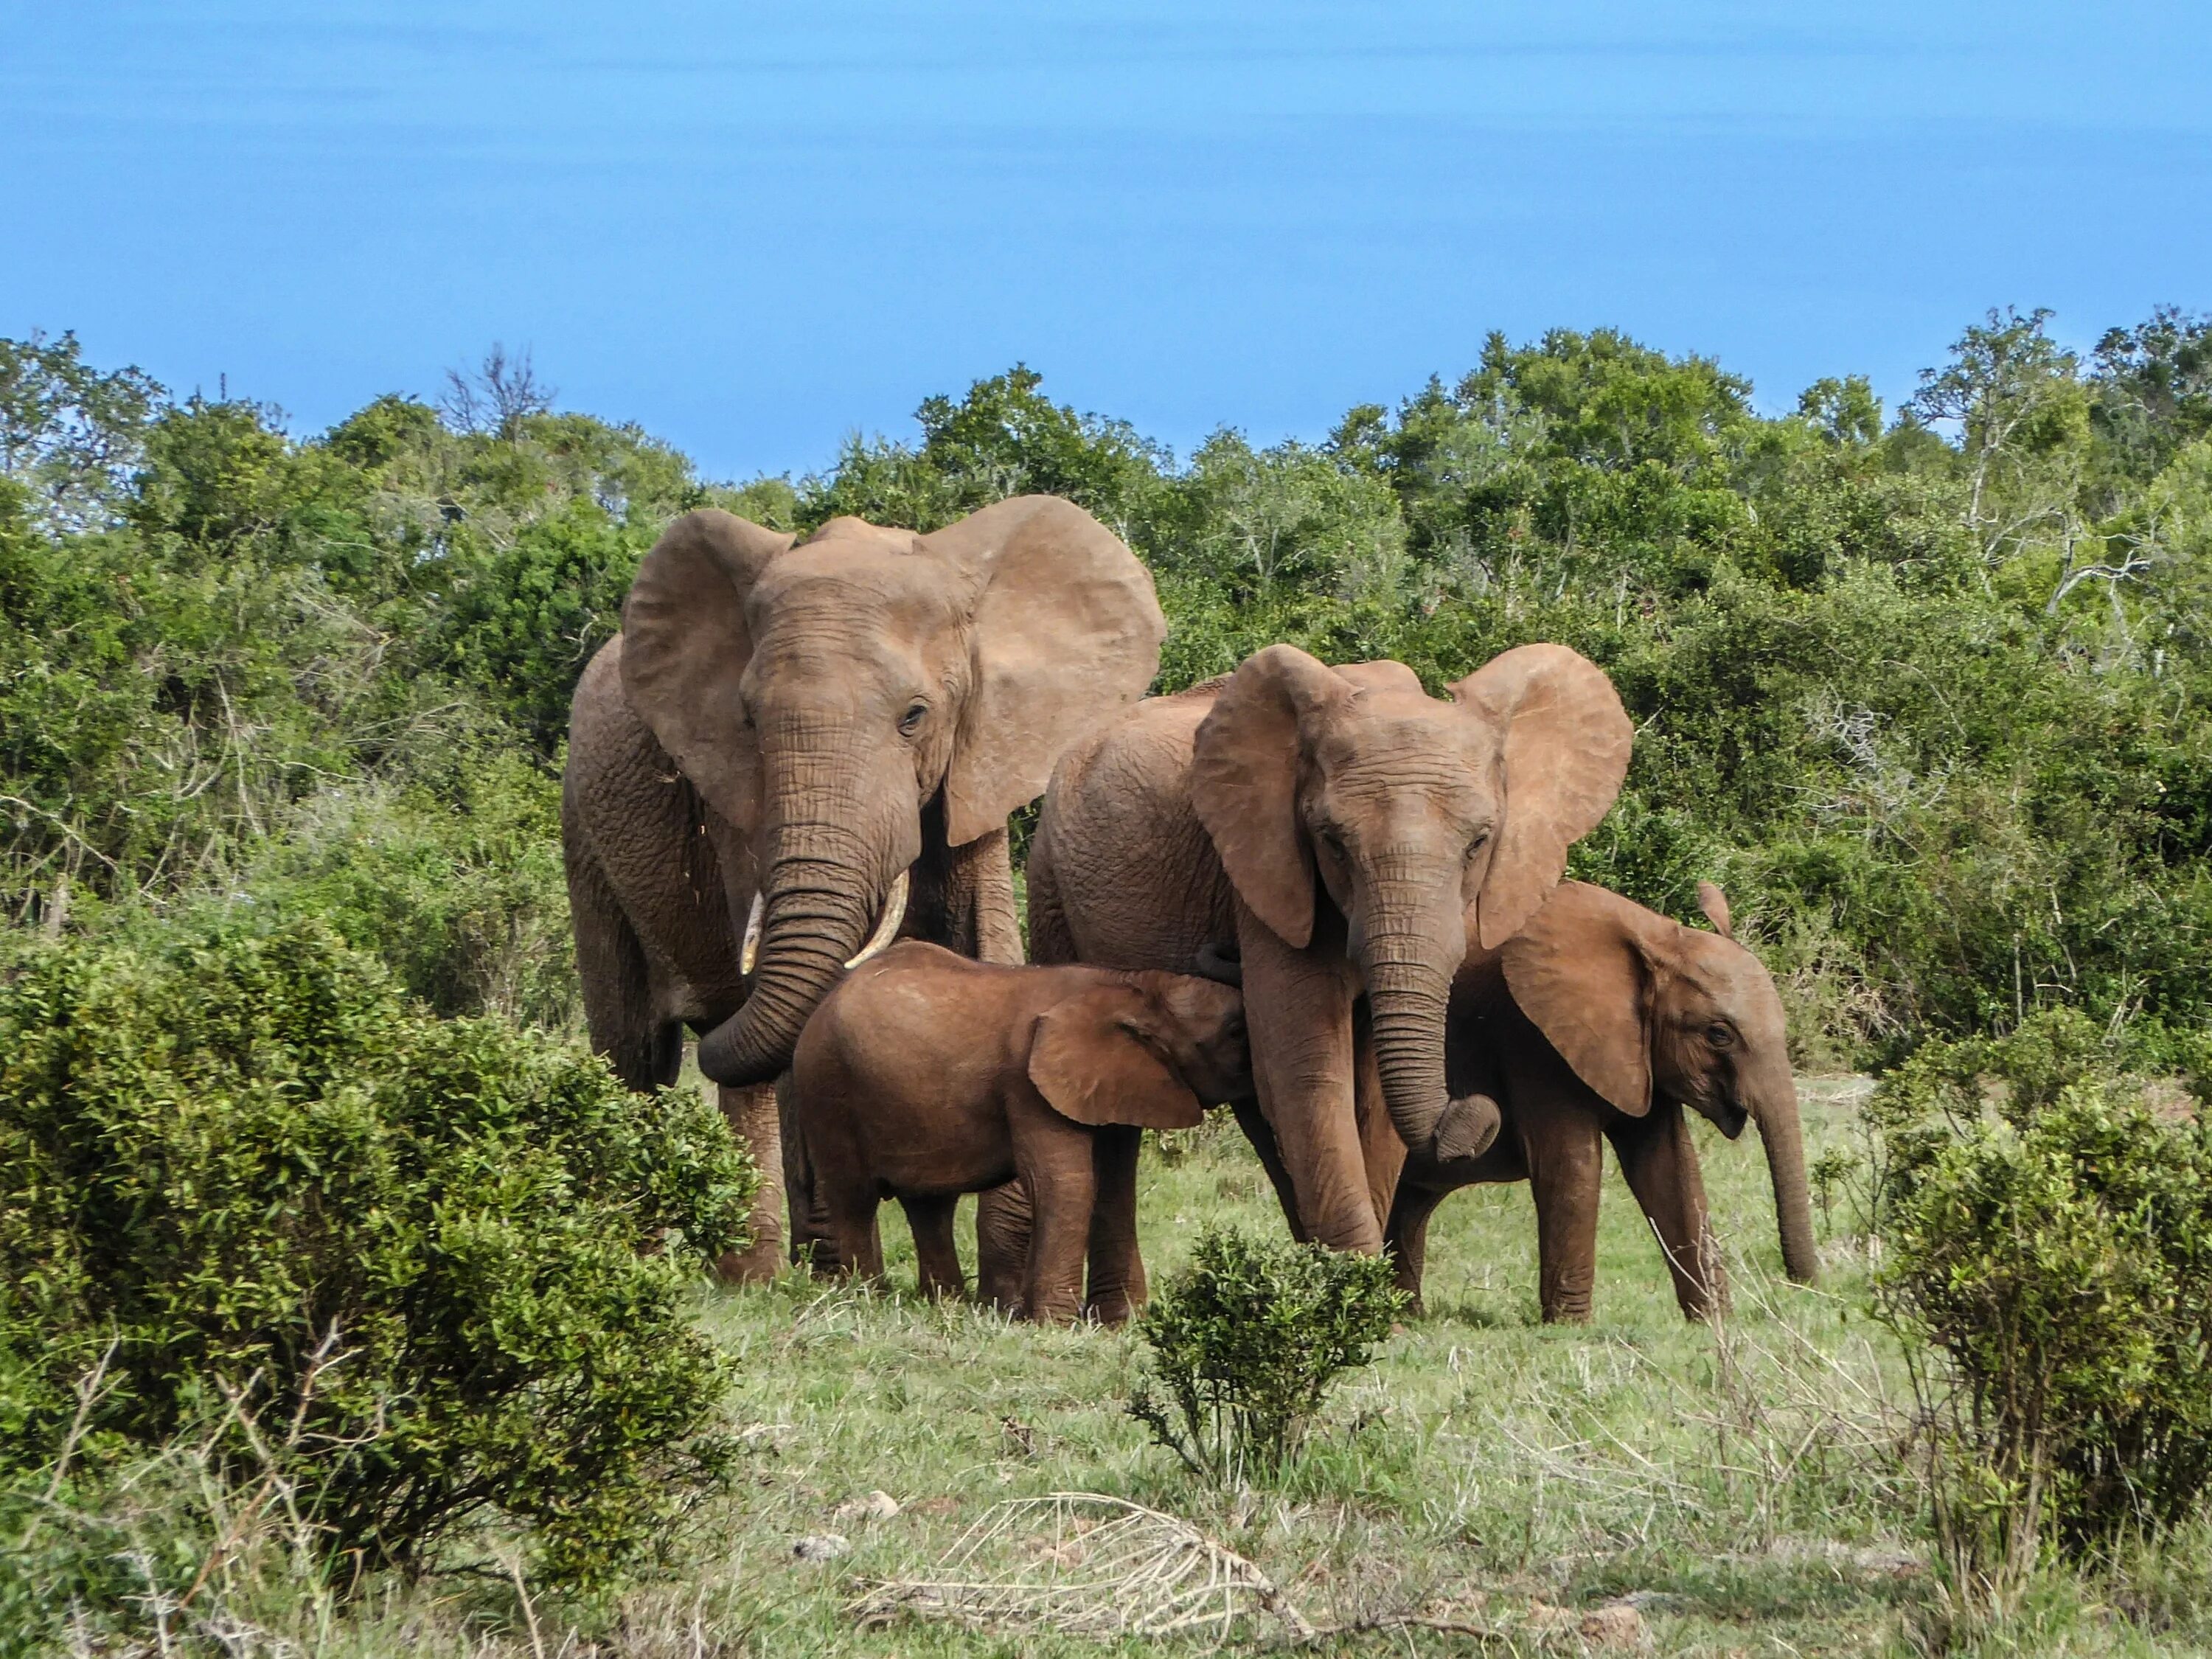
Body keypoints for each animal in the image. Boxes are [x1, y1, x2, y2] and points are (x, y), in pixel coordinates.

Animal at [562, 500, 1168, 1283]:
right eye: (749, 721)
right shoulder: (735, 798)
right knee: (636, 1053)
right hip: (582, 829)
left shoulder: (979, 761)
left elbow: (988, 946)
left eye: (915, 716)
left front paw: (1002, 1284)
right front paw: (841, 1275)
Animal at [787, 947, 1256, 1327]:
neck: (1133, 985)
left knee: (929, 1206)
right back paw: (867, 1299)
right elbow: (1065, 1184)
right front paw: (1054, 1326)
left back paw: (945, 1305)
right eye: (1235, 1031)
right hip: (825, 1086)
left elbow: (1113, 1188)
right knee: (854, 1198)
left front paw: (1123, 1324)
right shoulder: (1027, 1082)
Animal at [1026, 641, 1637, 1256]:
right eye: (1333, 843)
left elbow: (1369, 1095)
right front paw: (1360, 1280)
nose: (1474, 1111)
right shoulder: (1270, 873)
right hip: (1048, 881)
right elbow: (1308, 1070)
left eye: (1478, 844)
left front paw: (1360, 1280)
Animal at [1389, 885, 1823, 1327]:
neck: (1657, 936)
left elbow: (1669, 1167)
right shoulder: (1531, 1037)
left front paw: (1714, 1322)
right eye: (1719, 1034)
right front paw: (1569, 1328)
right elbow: (1572, 1166)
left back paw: (1409, 1316)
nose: (1800, 1286)